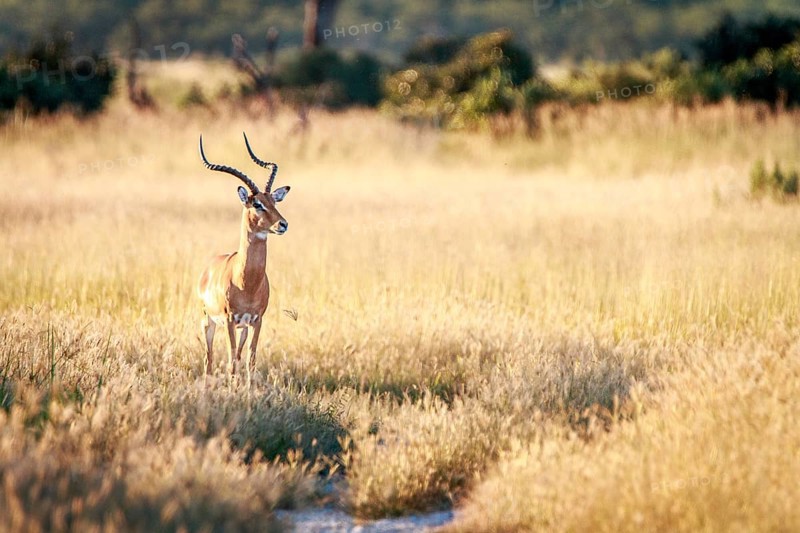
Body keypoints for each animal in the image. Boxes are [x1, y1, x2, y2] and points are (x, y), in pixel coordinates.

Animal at [197, 132, 291, 382]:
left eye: (274, 201)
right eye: (256, 203)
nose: (283, 224)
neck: (246, 282)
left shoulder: (256, 321)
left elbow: (250, 361)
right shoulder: (230, 320)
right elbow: (231, 363)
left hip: (243, 328)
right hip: (208, 321)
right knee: (209, 359)